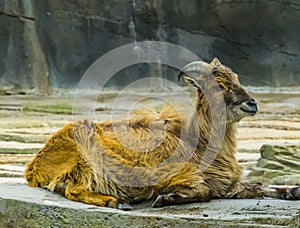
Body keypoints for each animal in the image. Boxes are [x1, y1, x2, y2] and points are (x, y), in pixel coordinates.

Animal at [25, 58, 300, 209]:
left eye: (236, 79)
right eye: (218, 86)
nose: (252, 103)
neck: (200, 142)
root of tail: (34, 166)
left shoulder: (227, 183)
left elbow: (259, 185)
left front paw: (293, 191)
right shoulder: (175, 175)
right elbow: (203, 192)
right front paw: (165, 198)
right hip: (85, 160)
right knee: (73, 190)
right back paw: (118, 202)